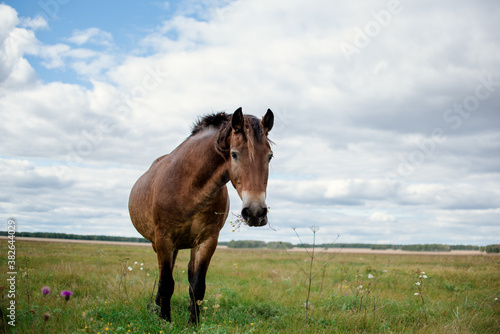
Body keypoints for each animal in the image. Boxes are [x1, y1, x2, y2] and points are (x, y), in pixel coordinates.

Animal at [129, 107, 274, 324]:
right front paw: (165, 320)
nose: (256, 212)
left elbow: (197, 285)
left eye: (269, 156)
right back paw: (157, 309)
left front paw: (193, 323)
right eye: (234, 154)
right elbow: (166, 282)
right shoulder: (163, 238)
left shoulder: (207, 240)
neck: (190, 187)